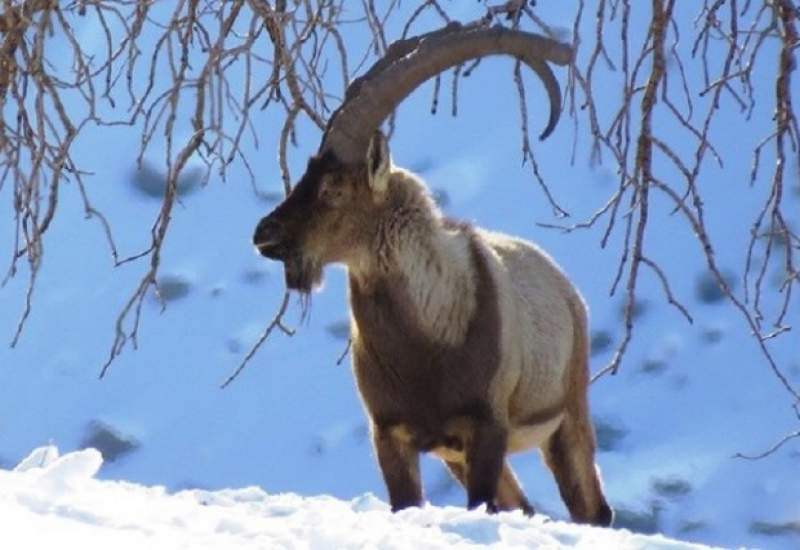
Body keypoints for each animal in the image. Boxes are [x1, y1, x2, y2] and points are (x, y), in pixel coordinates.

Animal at [255, 23, 612, 528]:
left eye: (333, 188)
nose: (264, 234)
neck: (426, 346)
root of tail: (567, 290)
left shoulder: (486, 426)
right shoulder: (391, 433)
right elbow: (406, 500)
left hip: (567, 412)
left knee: (591, 508)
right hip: (455, 454)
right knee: (522, 505)